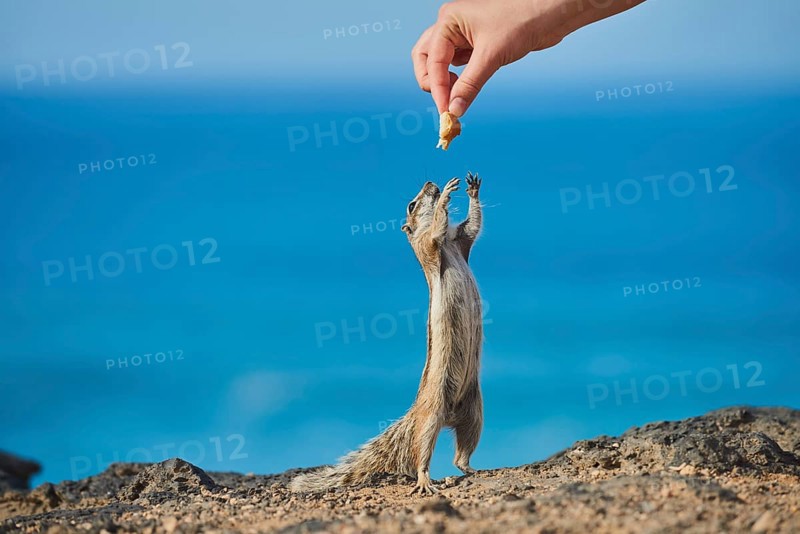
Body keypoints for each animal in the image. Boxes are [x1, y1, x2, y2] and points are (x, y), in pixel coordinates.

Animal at [291, 172, 484, 496]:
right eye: (411, 205)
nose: (430, 183)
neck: (448, 245)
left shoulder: (460, 240)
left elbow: (473, 226)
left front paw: (472, 189)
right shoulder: (429, 244)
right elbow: (436, 228)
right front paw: (445, 196)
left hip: (475, 412)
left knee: (461, 454)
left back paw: (472, 468)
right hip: (431, 416)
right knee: (422, 453)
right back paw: (425, 481)